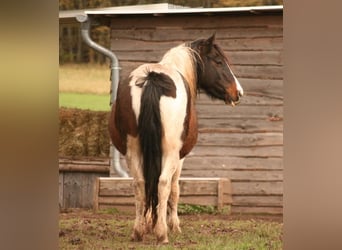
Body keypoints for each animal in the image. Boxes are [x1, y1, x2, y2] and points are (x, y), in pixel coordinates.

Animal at [109, 34, 243, 243]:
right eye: (219, 61)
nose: (238, 92)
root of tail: (152, 78)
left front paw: (150, 223)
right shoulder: (180, 158)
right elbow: (174, 190)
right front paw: (172, 225)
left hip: (134, 150)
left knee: (140, 183)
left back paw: (138, 231)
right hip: (170, 154)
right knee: (163, 183)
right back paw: (162, 233)